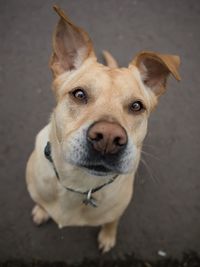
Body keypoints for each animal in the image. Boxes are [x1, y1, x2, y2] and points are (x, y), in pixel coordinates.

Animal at [25, 5, 181, 253]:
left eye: (136, 106)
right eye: (79, 94)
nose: (108, 137)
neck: (78, 184)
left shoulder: (116, 212)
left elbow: (111, 222)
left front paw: (108, 236)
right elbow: (41, 201)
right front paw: (42, 210)